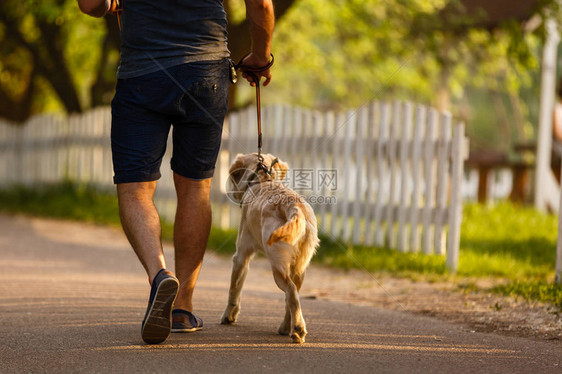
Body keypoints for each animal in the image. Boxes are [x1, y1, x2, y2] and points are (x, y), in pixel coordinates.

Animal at [222, 153, 322, 344]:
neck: (262, 180)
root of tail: (294, 207)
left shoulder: (241, 257)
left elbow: (233, 290)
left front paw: (228, 317)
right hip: (299, 267)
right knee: (292, 296)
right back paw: (286, 327)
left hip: (278, 266)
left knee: (291, 293)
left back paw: (298, 329)